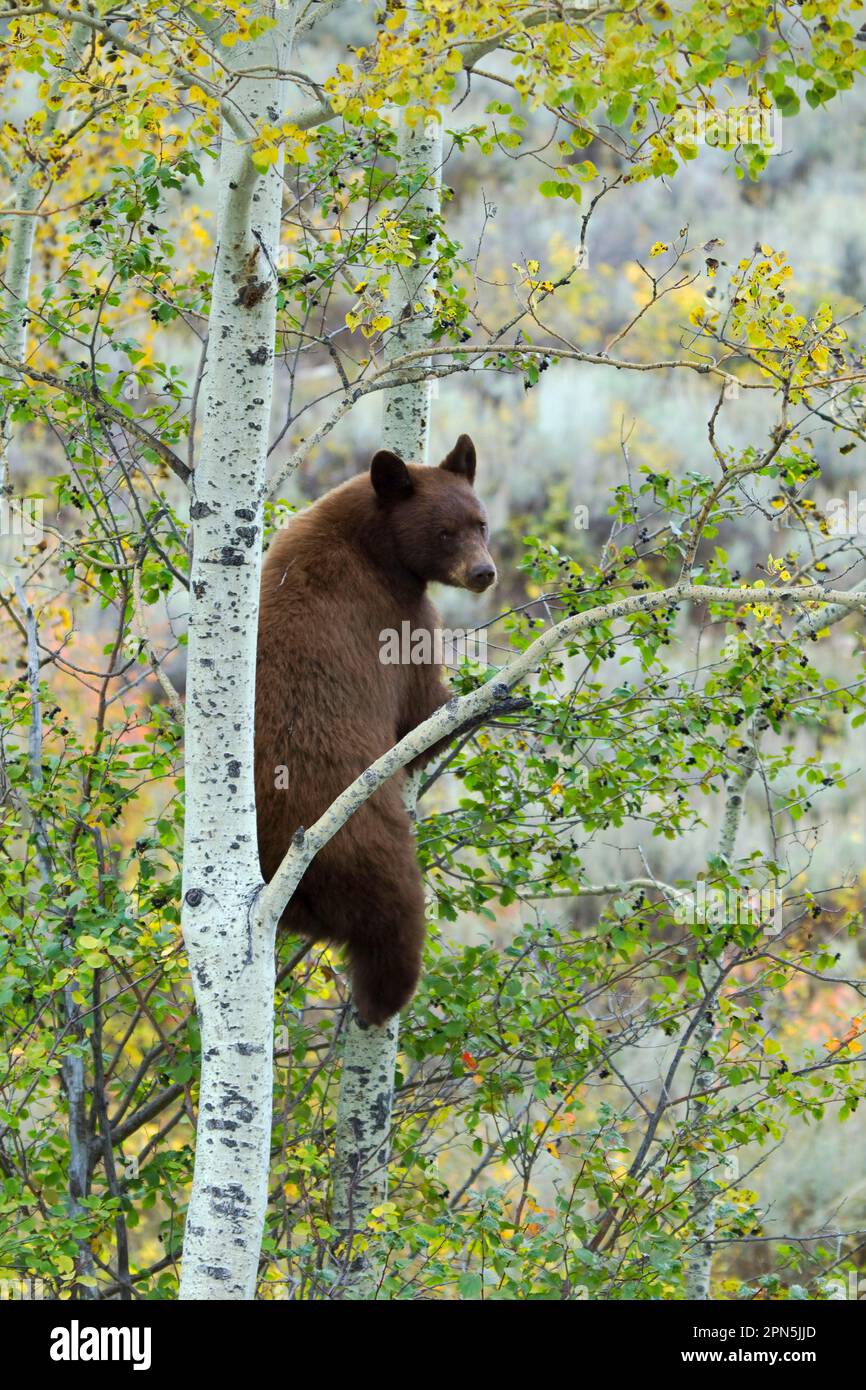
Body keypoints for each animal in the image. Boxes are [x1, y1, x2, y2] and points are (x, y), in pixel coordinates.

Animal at [254, 434, 496, 1026]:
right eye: (444, 532)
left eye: (481, 522)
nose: (483, 573)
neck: (372, 541)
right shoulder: (397, 616)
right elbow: (422, 712)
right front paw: (486, 700)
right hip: (366, 839)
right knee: (396, 917)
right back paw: (381, 1001)